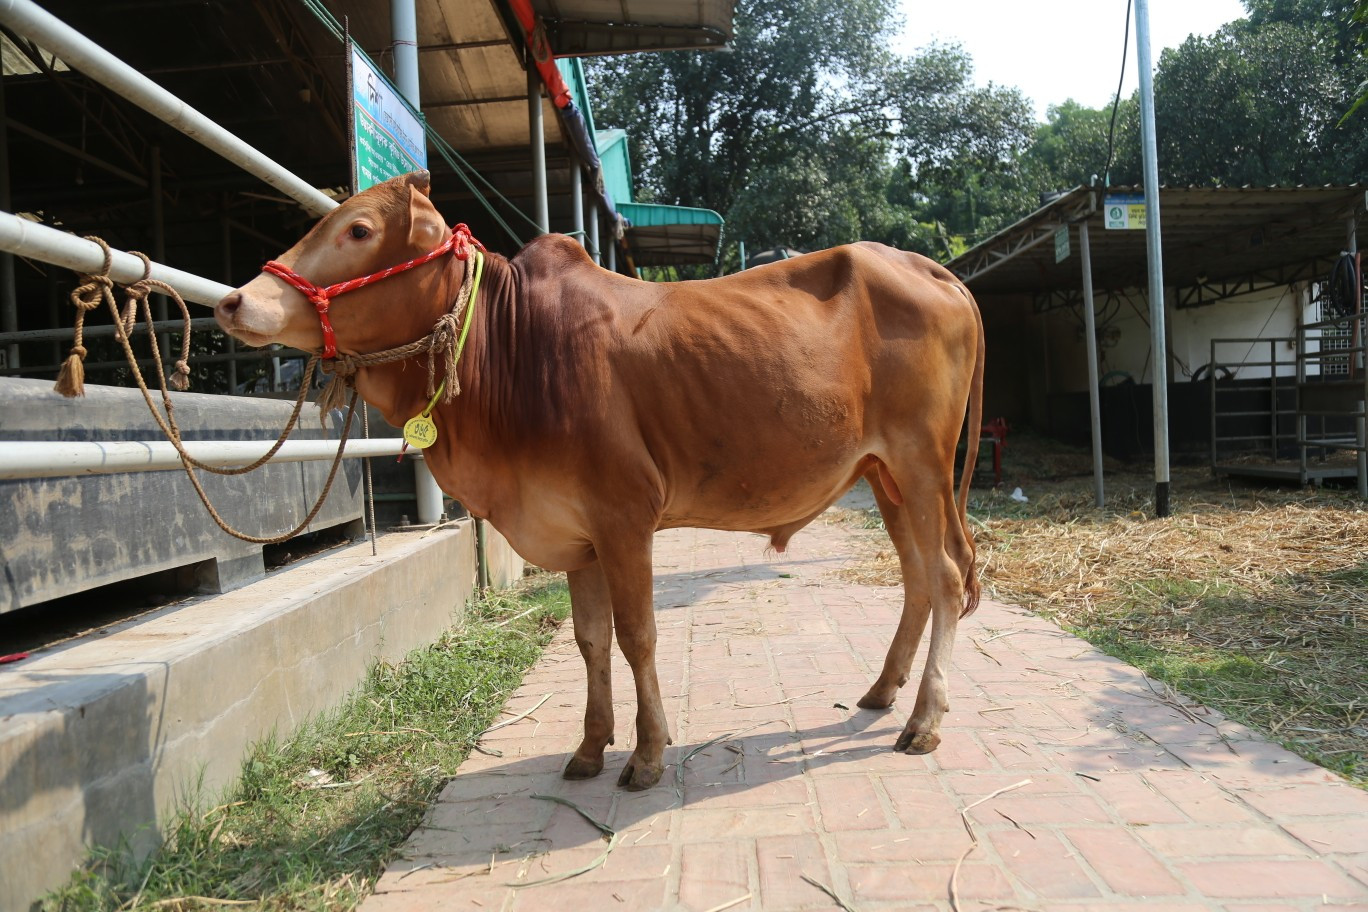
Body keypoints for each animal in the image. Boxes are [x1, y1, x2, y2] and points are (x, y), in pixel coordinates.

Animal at [216, 171, 985, 790]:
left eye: (360, 229)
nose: (233, 301)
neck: (511, 349)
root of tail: (927, 266)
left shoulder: (624, 518)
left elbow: (637, 634)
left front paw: (646, 756)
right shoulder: (574, 532)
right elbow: (590, 639)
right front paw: (590, 748)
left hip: (921, 463)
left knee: (947, 579)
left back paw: (924, 721)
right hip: (884, 474)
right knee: (919, 579)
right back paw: (882, 691)